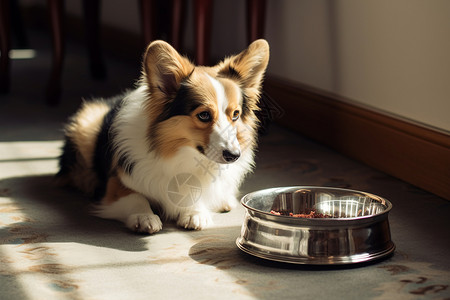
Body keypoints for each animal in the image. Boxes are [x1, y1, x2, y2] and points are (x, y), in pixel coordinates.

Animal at [57, 38, 270, 233]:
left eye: (235, 114)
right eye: (204, 115)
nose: (234, 156)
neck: (181, 154)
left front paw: (194, 212)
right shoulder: (116, 183)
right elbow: (136, 197)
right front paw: (144, 217)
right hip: (87, 123)